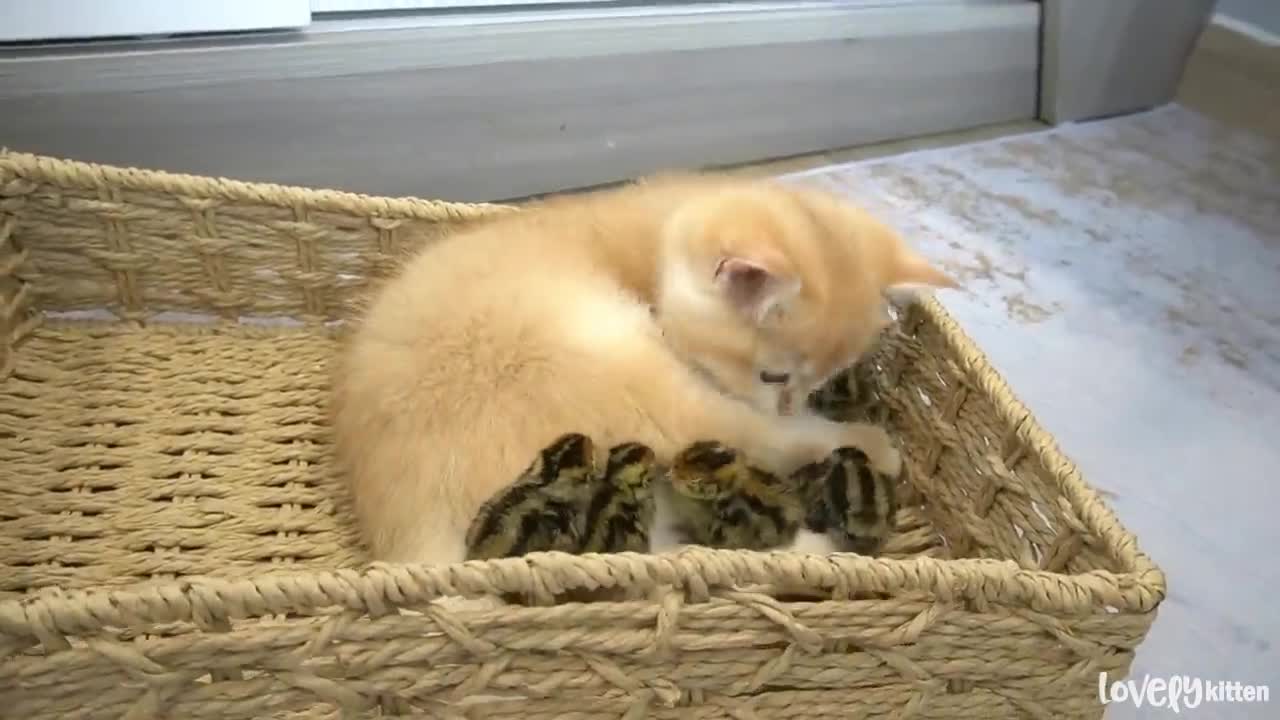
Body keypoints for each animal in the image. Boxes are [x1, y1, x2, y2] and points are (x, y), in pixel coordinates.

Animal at [330, 170, 952, 563]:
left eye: (819, 379)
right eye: (774, 377)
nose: (791, 403)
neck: (656, 239)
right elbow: (784, 431)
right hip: (648, 387)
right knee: (765, 444)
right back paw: (865, 456)